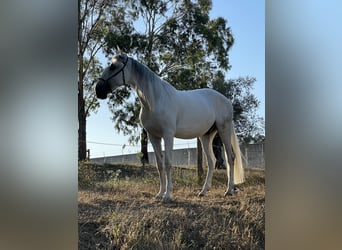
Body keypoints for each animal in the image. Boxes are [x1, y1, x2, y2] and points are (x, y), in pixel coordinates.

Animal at [96, 53, 244, 201]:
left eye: (113, 66)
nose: (98, 90)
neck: (155, 100)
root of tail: (227, 101)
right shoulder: (153, 136)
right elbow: (159, 165)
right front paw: (160, 193)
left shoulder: (168, 134)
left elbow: (167, 163)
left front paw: (168, 194)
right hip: (205, 136)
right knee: (211, 161)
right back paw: (203, 191)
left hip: (223, 129)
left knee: (230, 158)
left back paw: (229, 190)